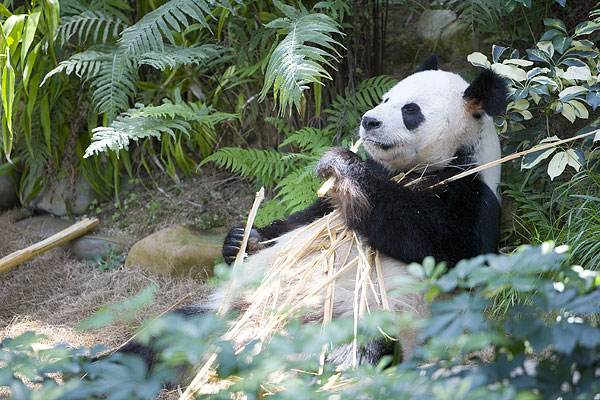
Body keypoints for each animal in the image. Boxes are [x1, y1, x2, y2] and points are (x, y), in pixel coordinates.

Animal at [116, 55, 506, 368]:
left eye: (410, 110)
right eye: (385, 99)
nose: (369, 121)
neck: (424, 167)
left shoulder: (471, 196)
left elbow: (434, 240)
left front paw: (341, 163)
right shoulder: (334, 199)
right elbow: (302, 219)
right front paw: (242, 240)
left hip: (364, 319)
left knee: (359, 353)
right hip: (222, 311)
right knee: (162, 333)